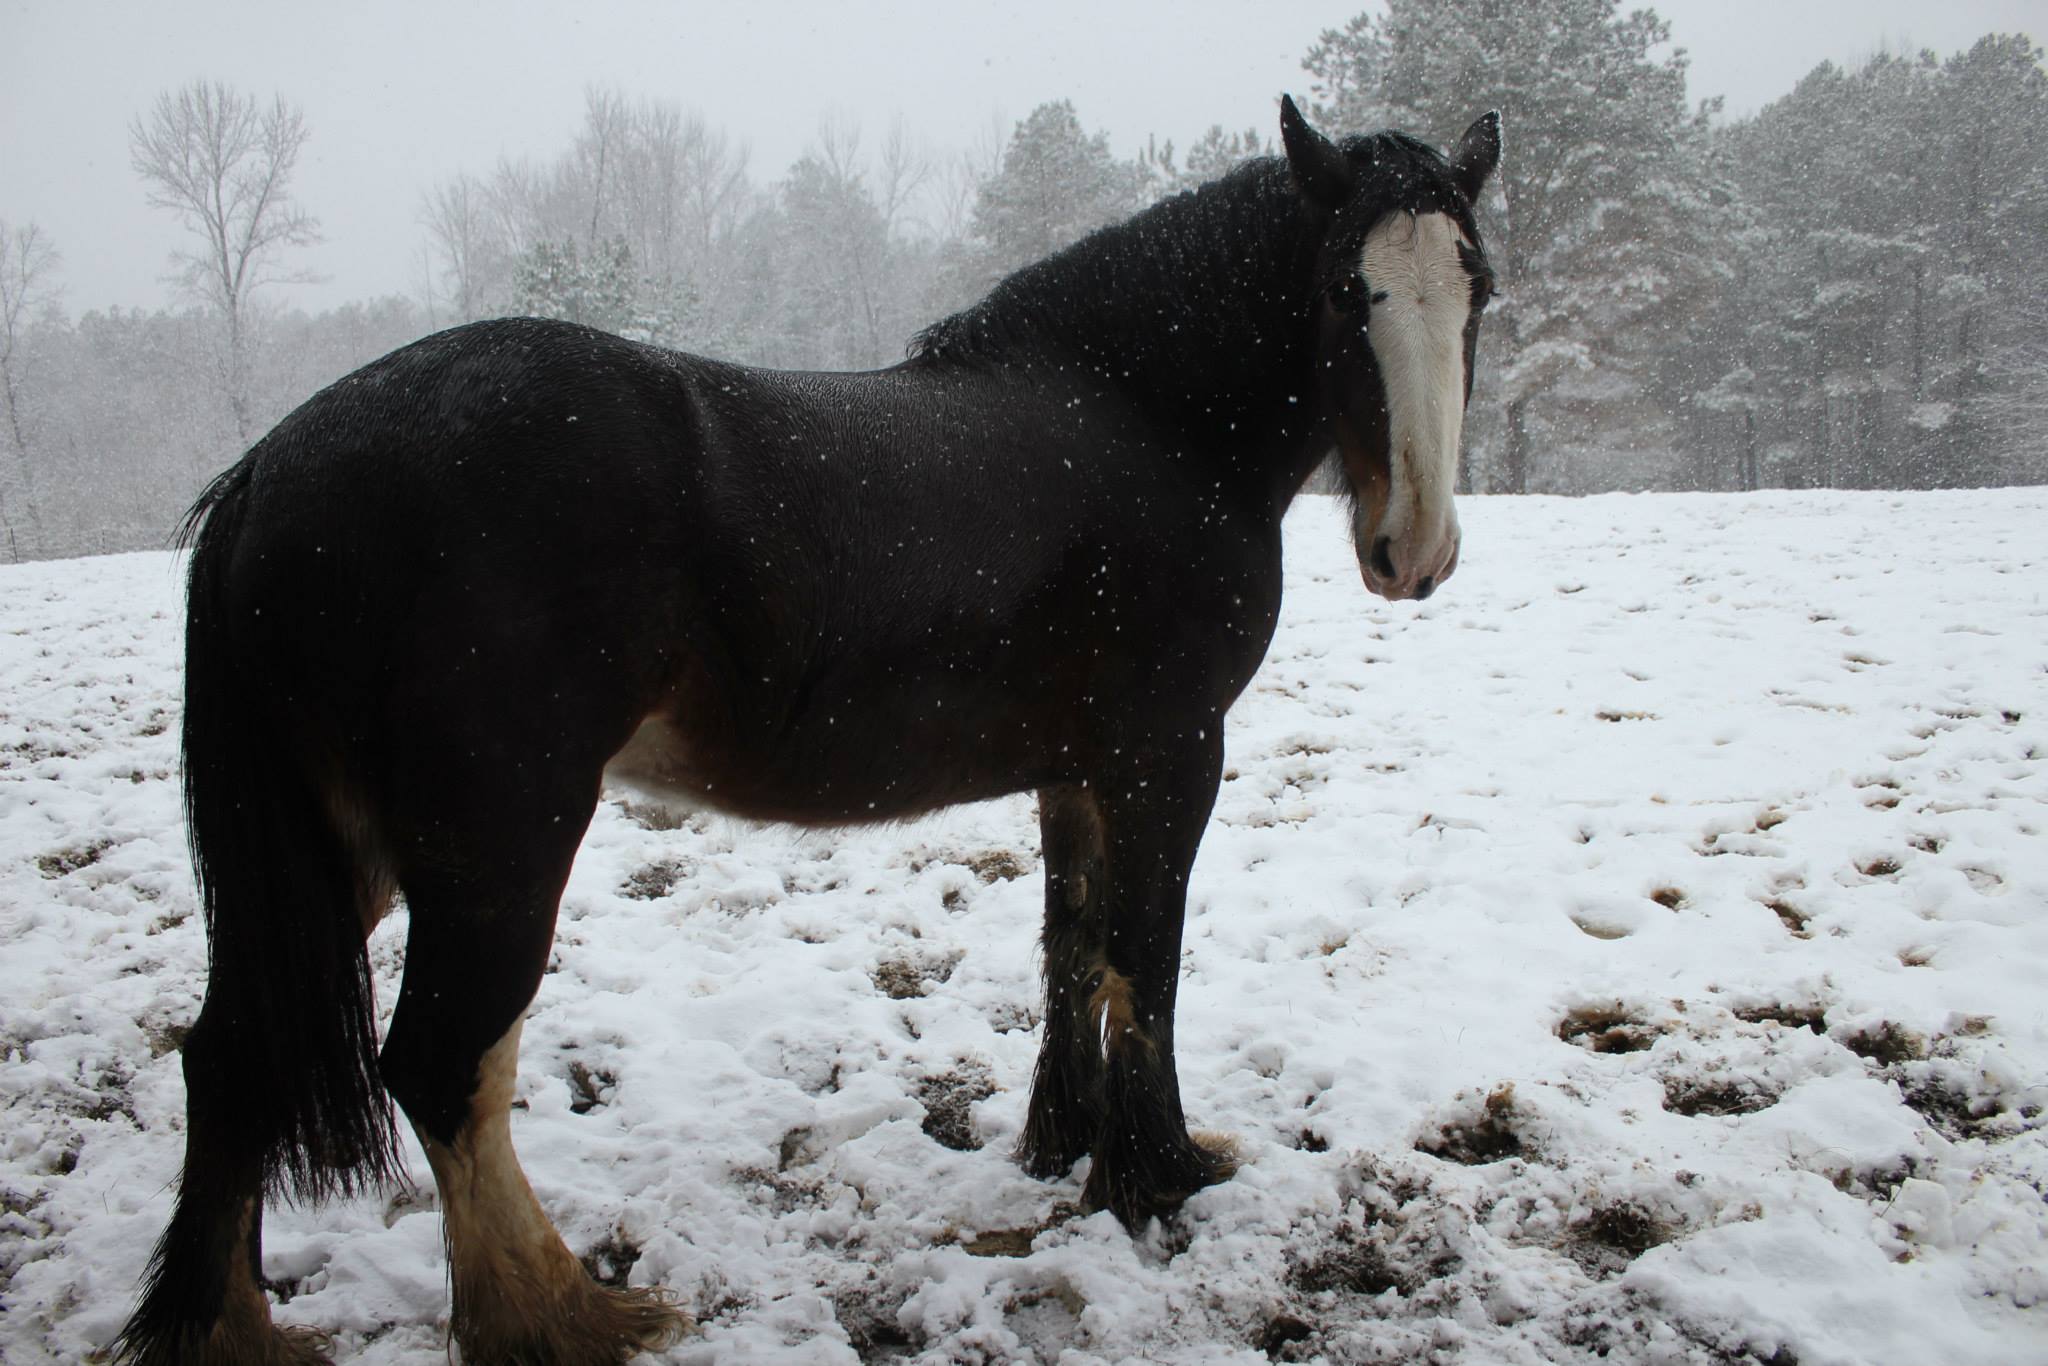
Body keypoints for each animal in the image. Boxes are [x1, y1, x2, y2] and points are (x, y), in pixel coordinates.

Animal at [116, 98, 1490, 1366]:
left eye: (1474, 286)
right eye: (1344, 289)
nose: (1413, 550)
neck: (1138, 417)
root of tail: (270, 470)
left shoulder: (1078, 772)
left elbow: (1070, 946)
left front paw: (1060, 1146)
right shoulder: (1168, 754)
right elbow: (1141, 961)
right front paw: (1156, 1174)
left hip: (343, 846)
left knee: (231, 1056)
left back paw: (229, 1327)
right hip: (497, 842)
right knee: (446, 1067)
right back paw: (558, 1315)